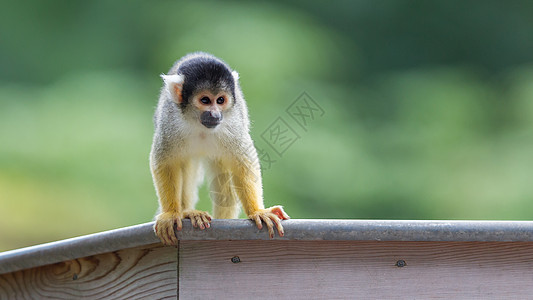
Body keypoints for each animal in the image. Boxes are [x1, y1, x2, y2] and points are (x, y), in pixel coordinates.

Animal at [150, 52, 290, 244]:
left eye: (220, 100)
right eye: (205, 100)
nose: (215, 114)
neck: (200, 125)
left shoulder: (233, 126)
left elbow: (243, 163)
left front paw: (257, 212)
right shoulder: (170, 122)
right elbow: (165, 162)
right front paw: (171, 214)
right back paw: (187, 212)